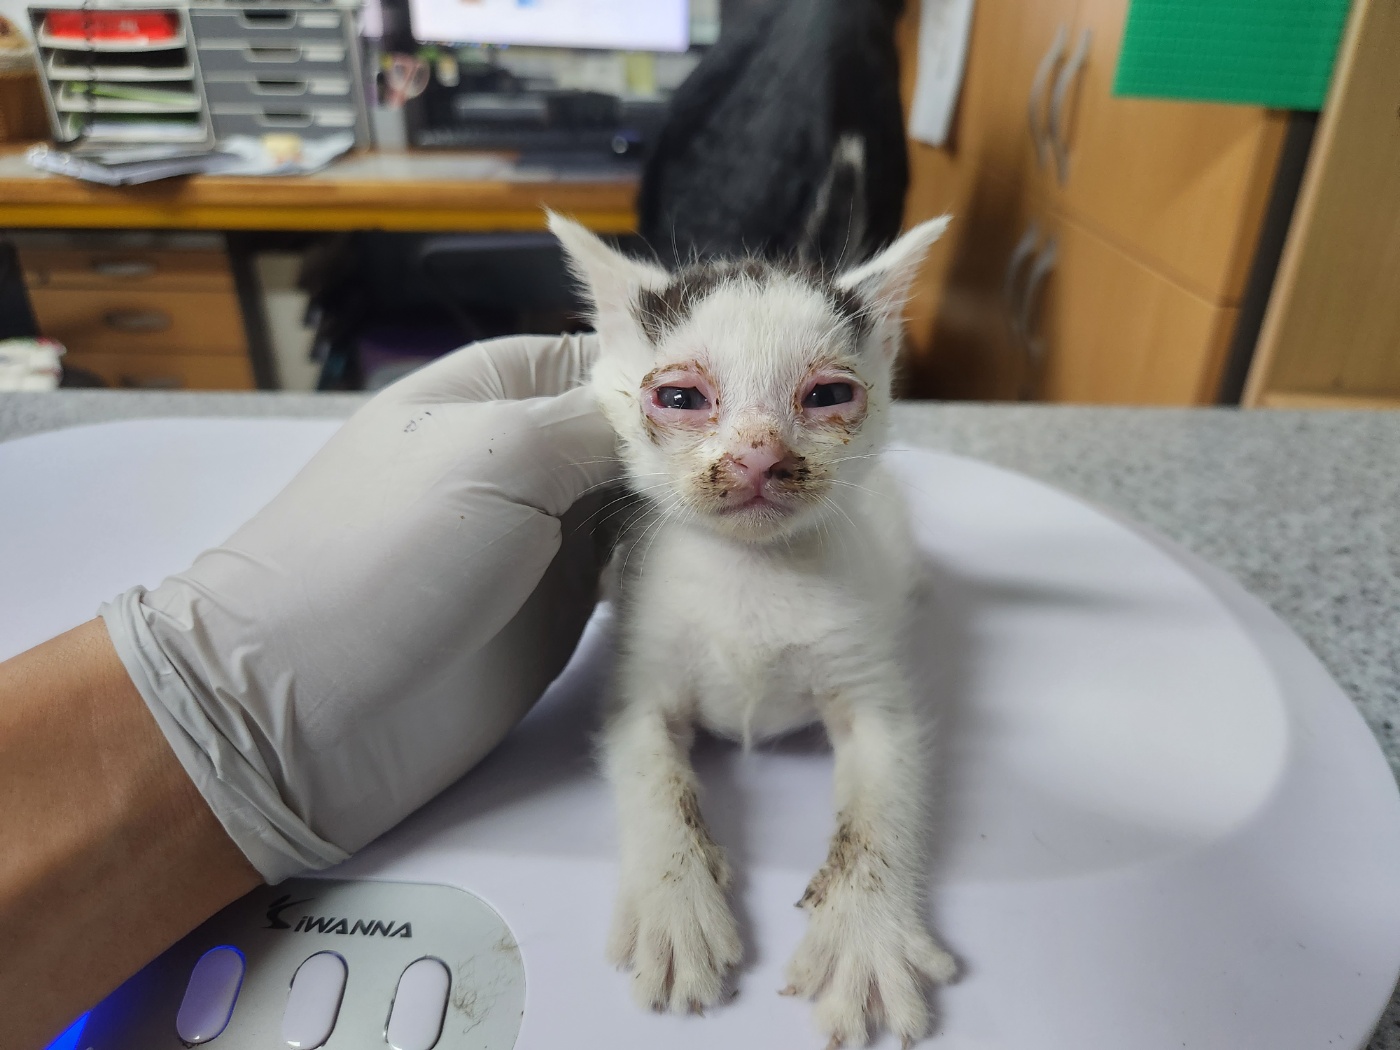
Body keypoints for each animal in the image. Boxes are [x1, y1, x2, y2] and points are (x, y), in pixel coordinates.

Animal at [551, 210, 957, 1047]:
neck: (753, 570)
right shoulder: (640, 682)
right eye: (679, 395)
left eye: (828, 394)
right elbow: (655, 778)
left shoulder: (875, 695)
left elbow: (882, 806)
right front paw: (675, 906)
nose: (760, 455)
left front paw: (866, 936)